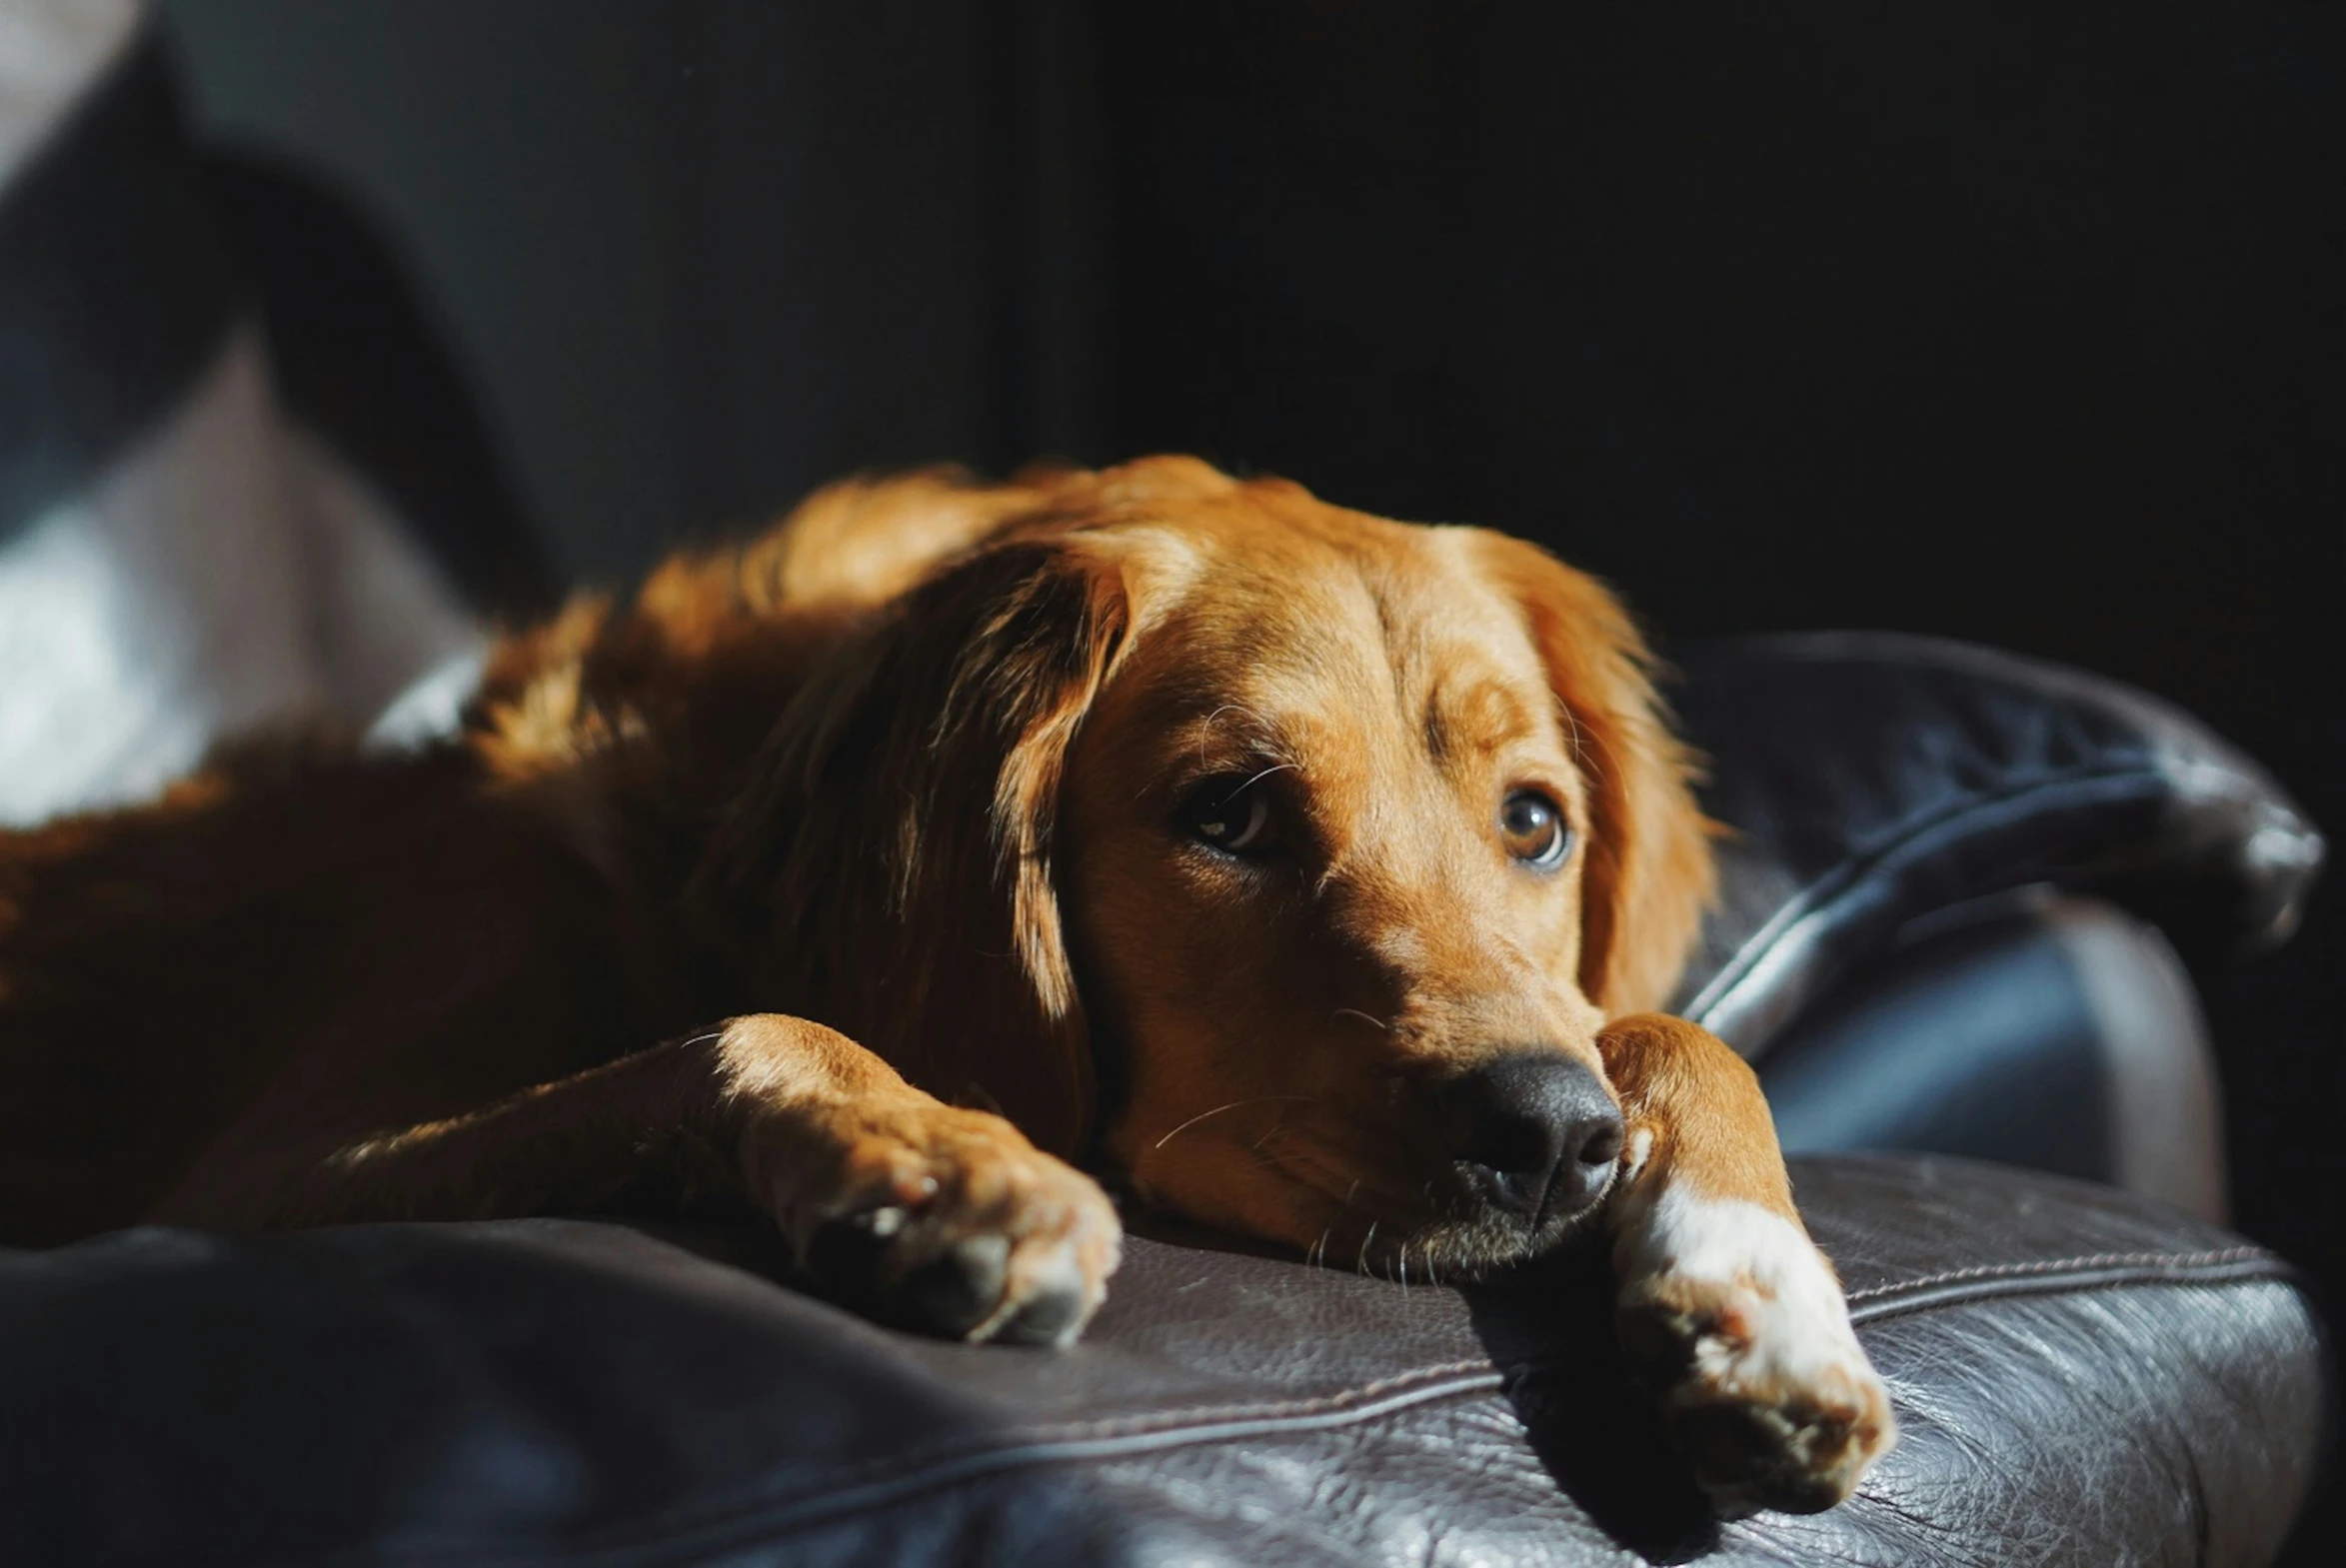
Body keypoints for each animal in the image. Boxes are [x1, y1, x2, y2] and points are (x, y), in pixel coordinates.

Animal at [0, 459, 1895, 1509]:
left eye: (1533, 823)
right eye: (1229, 814)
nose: (1552, 1140)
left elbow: (1668, 1030)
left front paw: (1758, 1302)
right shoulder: (268, 1168)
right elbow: (751, 1022)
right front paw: (946, 1161)